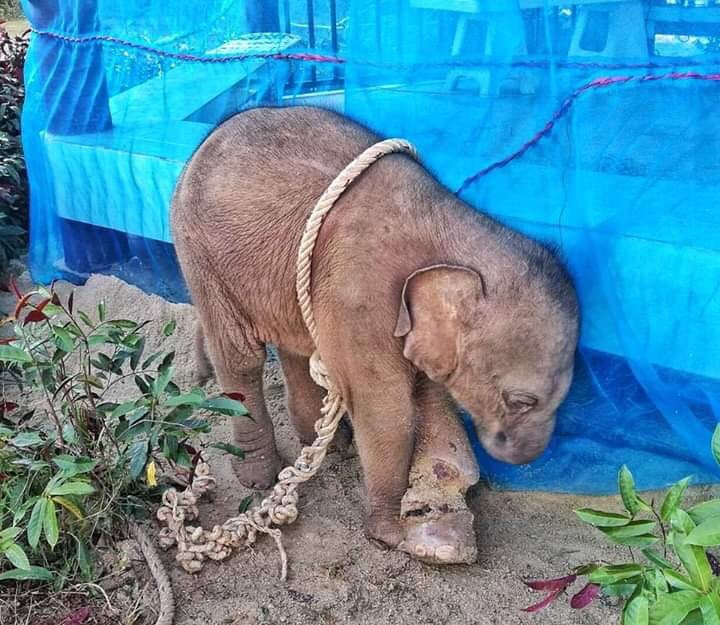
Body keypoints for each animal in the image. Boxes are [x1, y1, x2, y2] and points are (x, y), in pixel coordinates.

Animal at [171, 106, 579, 564]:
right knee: (241, 357)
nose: (527, 457)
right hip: (200, 252)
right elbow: (385, 406)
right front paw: (391, 535)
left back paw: (329, 443)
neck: (455, 228)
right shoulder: (359, 293)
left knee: (294, 348)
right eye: (521, 401)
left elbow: (427, 395)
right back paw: (260, 475)